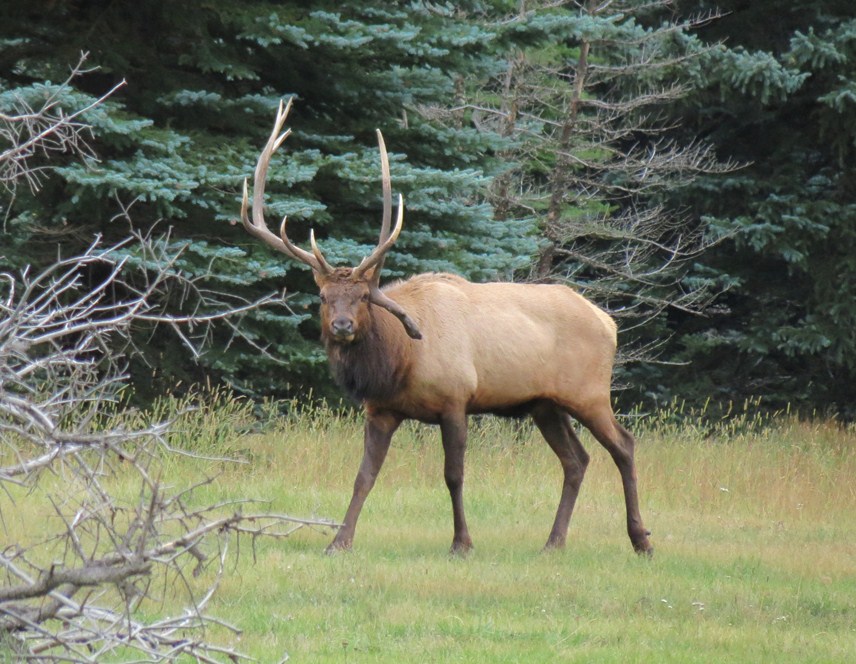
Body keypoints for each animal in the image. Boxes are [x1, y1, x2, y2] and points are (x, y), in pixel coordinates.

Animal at [241, 98, 656, 556]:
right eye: (322, 296)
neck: (400, 361)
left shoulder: (457, 399)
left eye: (364, 296)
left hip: (589, 392)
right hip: (545, 403)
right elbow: (363, 477)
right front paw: (339, 542)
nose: (342, 325)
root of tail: (608, 322)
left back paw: (641, 539)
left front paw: (462, 542)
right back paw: (554, 542)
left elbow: (454, 475)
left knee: (624, 445)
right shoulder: (381, 411)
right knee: (576, 459)